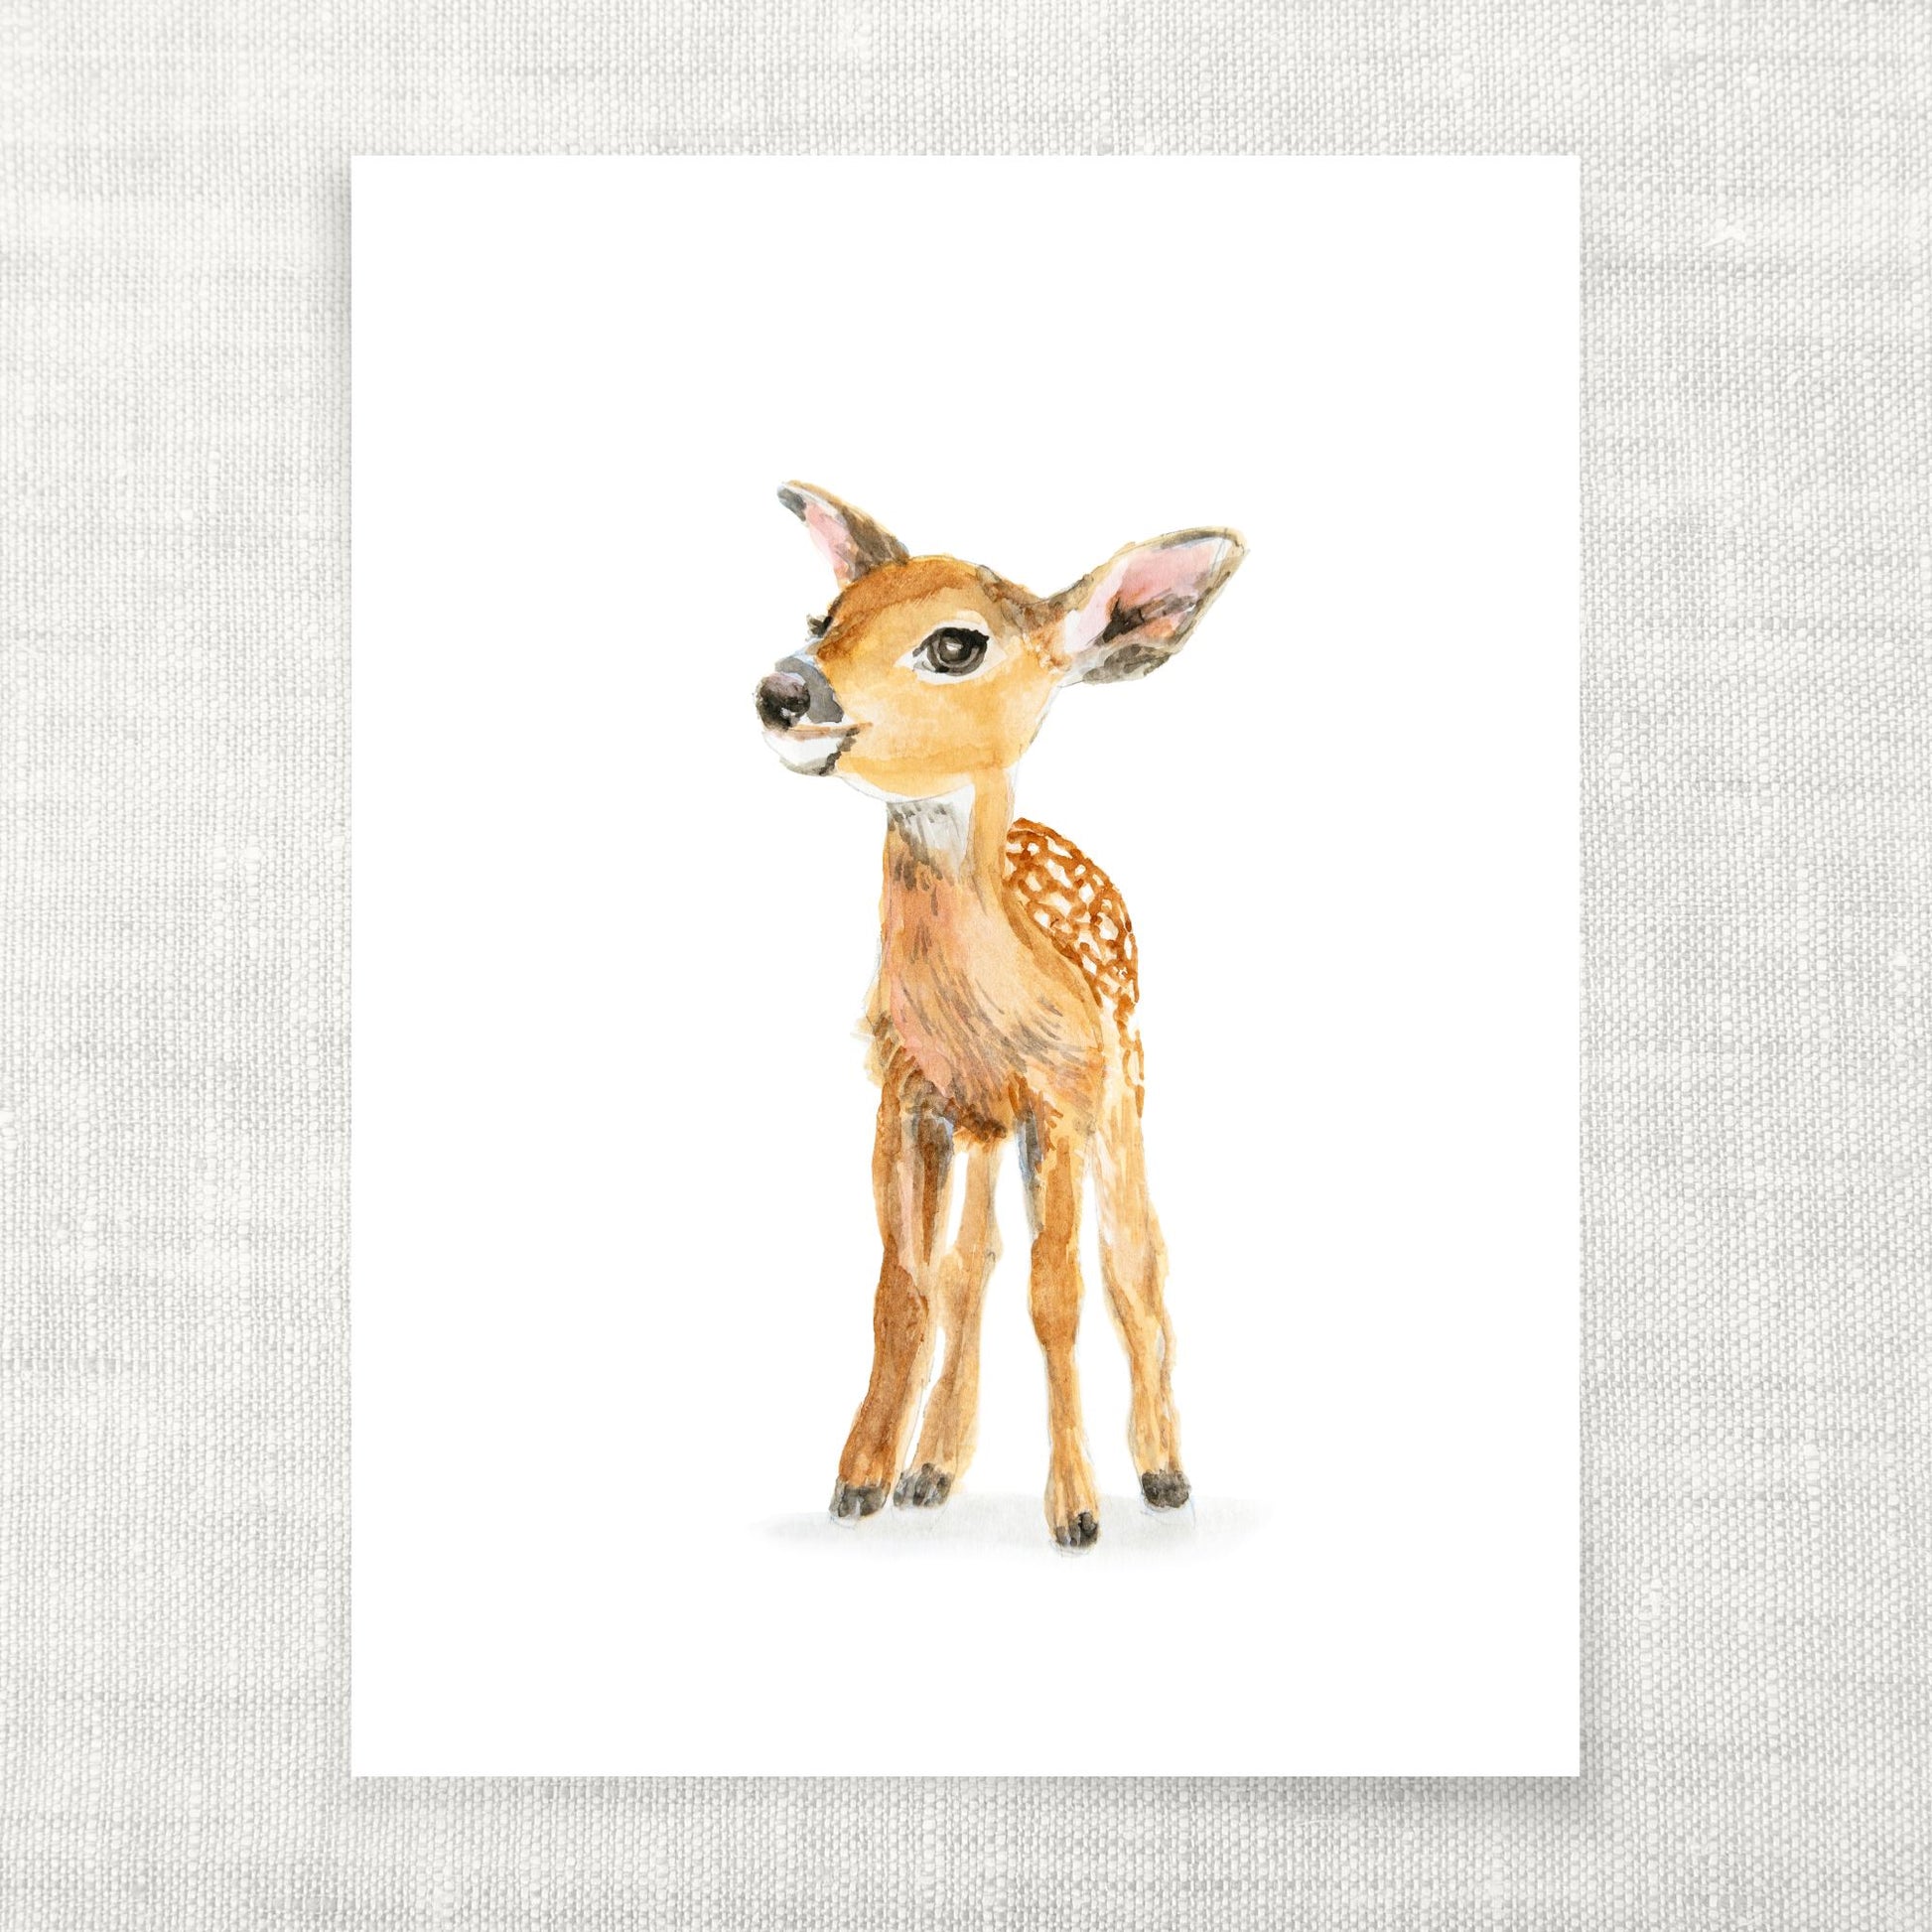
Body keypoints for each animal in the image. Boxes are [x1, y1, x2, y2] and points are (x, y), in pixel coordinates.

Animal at [755, 484, 1244, 1550]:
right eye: (824, 616)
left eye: (956, 644)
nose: (783, 689)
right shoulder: (904, 1090)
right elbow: (906, 1286)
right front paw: (859, 1483)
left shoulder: (1060, 1093)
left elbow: (1058, 1294)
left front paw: (1077, 1512)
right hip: (987, 1126)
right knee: (970, 1263)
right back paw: (933, 1469)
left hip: (1123, 1075)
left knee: (1135, 1256)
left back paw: (1163, 1474)